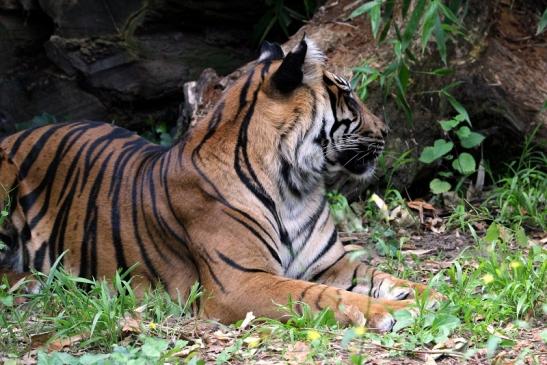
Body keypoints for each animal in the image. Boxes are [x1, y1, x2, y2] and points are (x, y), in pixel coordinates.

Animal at [0, 37, 446, 332]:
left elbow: (385, 278)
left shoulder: (329, 264)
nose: (386, 130)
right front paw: (388, 313)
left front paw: (433, 295)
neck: (295, 185)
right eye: (350, 97)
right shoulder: (240, 282)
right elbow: (323, 297)